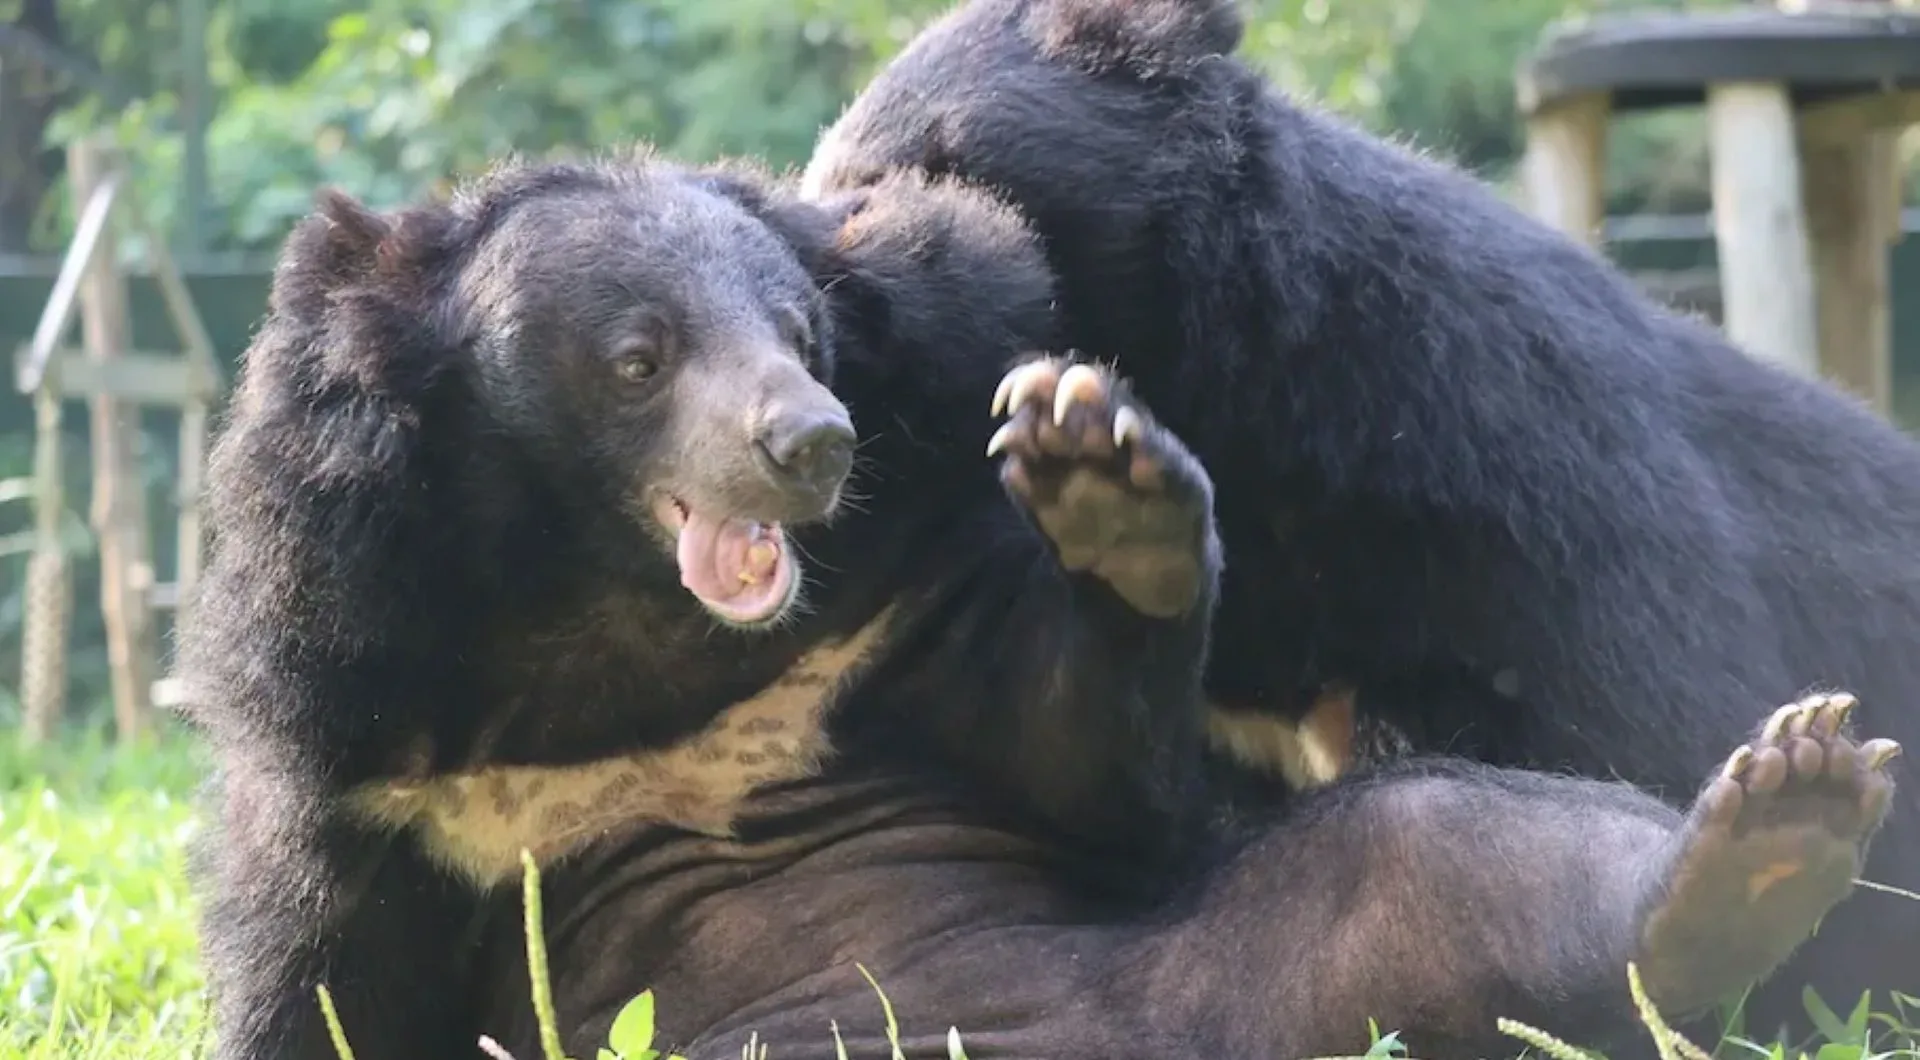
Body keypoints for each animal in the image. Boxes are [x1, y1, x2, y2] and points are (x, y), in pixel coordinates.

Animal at [176, 155, 1221, 1060]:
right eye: (640, 360)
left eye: (801, 336)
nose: (814, 443)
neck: (622, 605)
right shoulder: (368, 741)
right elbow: (322, 984)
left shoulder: (886, 604)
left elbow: (1079, 764)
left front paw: (1100, 475)